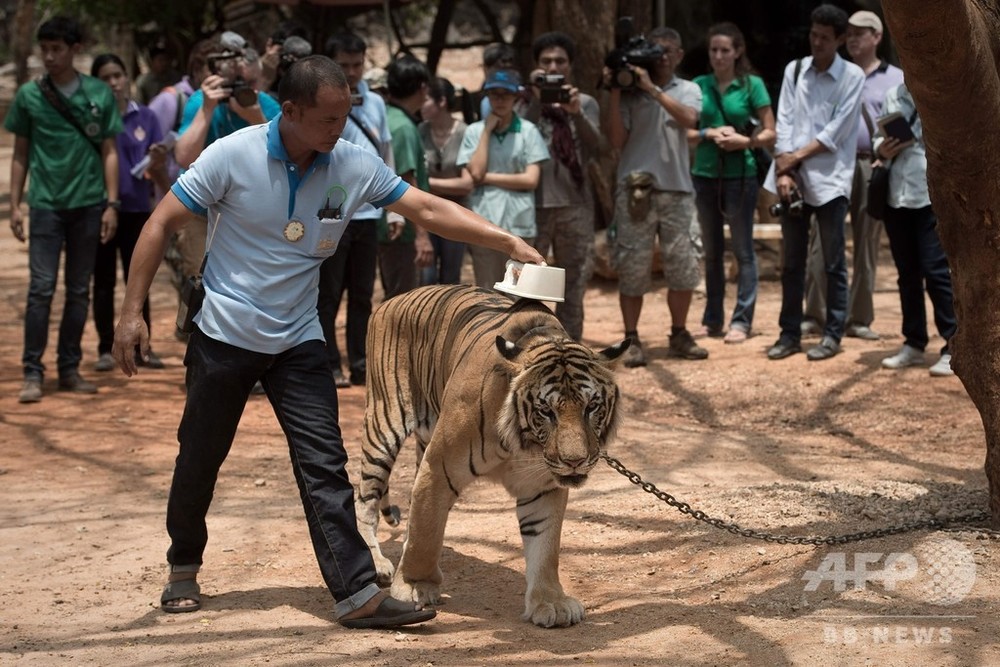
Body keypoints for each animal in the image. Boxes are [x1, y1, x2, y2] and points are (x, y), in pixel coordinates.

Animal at [356, 284, 628, 628]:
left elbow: (545, 545)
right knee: (365, 501)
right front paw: (414, 587)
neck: (523, 443)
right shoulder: (439, 468)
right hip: (383, 423)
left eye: (591, 406)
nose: (574, 461)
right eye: (546, 411)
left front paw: (550, 602)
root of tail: (392, 299)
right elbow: (426, 532)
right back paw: (377, 562)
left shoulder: (543, 486)